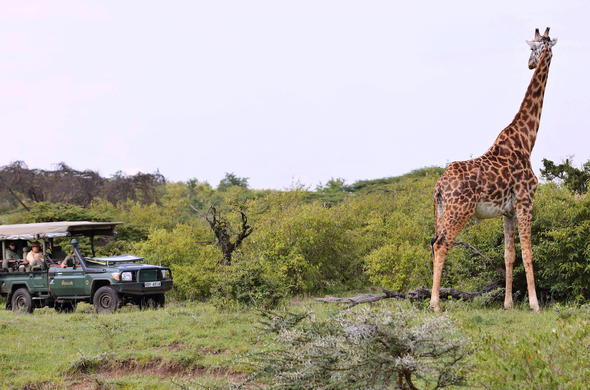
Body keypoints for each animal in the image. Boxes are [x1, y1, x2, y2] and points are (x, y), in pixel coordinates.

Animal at [430, 27, 560, 312]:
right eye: (532, 48)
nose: (530, 63)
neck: (526, 140)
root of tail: (439, 187)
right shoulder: (525, 201)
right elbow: (528, 252)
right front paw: (535, 304)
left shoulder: (507, 211)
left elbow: (509, 255)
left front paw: (508, 303)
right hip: (460, 211)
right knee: (442, 244)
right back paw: (435, 304)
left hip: (441, 211)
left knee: (433, 242)